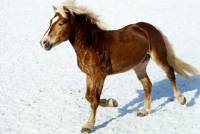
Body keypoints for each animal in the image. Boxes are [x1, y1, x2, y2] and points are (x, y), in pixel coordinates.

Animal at [39, 0, 198, 133]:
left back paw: (181, 99)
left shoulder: (100, 75)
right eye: (50, 22)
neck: (92, 44)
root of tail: (148, 27)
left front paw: (88, 126)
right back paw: (144, 111)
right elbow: (89, 96)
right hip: (139, 65)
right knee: (148, 85)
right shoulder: (90, 75)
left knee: (170, 72)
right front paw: (113, 102)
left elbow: (94, 99)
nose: (44, 43)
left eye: (61, 23)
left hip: (158, 57)